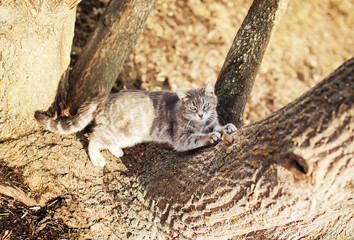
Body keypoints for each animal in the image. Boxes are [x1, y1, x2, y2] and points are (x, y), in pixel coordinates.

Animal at [35, 81, 235, 167]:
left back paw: (115, 150)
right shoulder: (181, 138)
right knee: (94, 137)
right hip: (119, 132)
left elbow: (218, 126)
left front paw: (227, 127)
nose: (201, 114)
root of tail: (105, 97)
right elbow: (198, 137)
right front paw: (210, 136)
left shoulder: (211, 121)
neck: (202, 123)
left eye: (206, 105)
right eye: (193, 108)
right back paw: (97, 158)